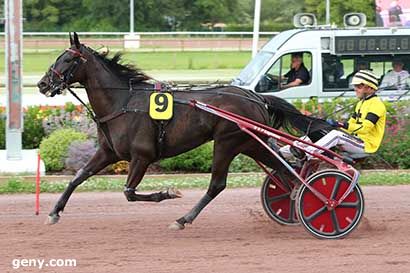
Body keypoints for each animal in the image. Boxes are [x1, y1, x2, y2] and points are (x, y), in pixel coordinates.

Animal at [36, 32, 328, 230]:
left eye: (67, 59)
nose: (42, 84)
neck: (123, 103)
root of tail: (254, 96)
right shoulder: (109, 152)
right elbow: (78, 177)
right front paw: (54, 212)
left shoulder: (142, 156)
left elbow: (129, 192)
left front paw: (168, 193)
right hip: (251, 143)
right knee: (286, 170)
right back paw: (298, 202)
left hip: (228, 142)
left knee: (218, 184)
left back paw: (183, 219)